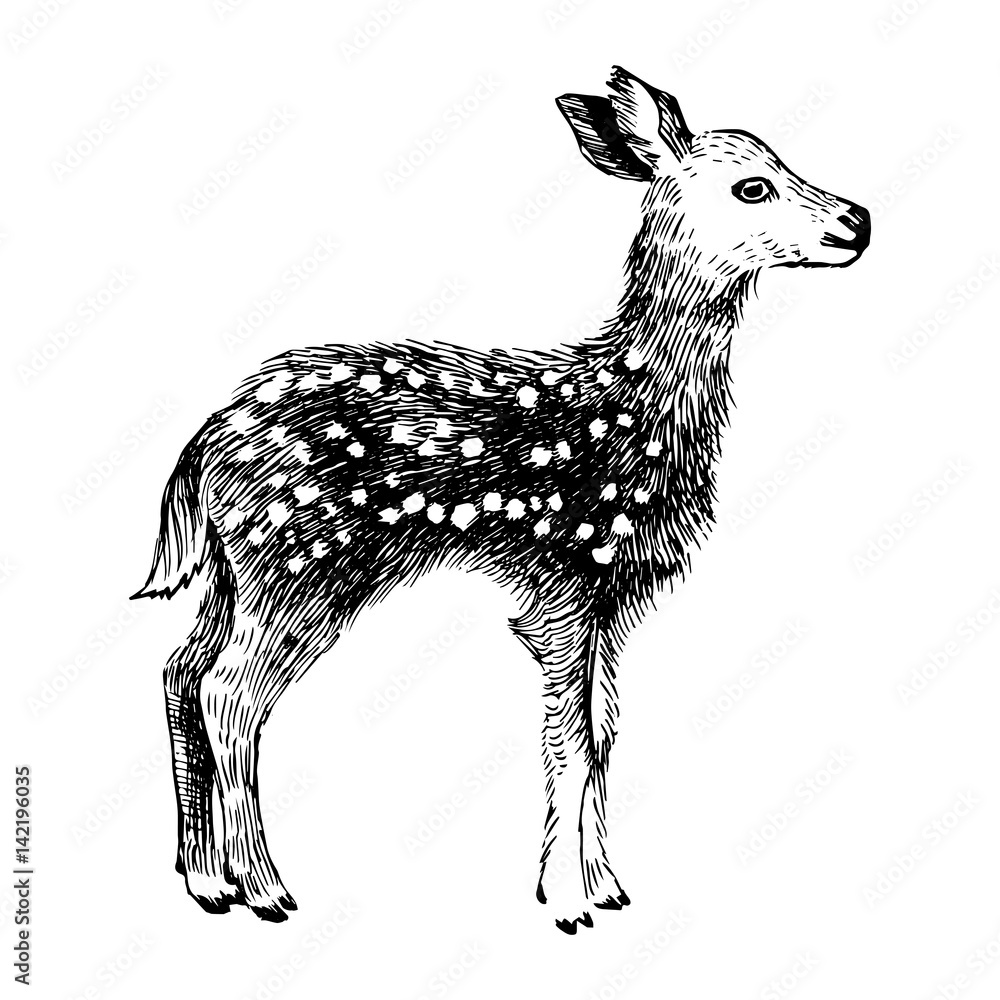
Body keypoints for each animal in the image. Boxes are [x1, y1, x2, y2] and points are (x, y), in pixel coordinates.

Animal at [133, 66, 870, 934]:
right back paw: (265, 888)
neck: (637, 410)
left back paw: (205, 882)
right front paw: (569, 902)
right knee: (229, 695)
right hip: (302, 563)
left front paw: (607, 887)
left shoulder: (610, 600)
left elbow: (605, 736)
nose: (857, 221)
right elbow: (573, 742)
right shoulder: (566, 581)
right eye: (752, 186)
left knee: (180, 671)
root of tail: (202, 444)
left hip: (235, 568)